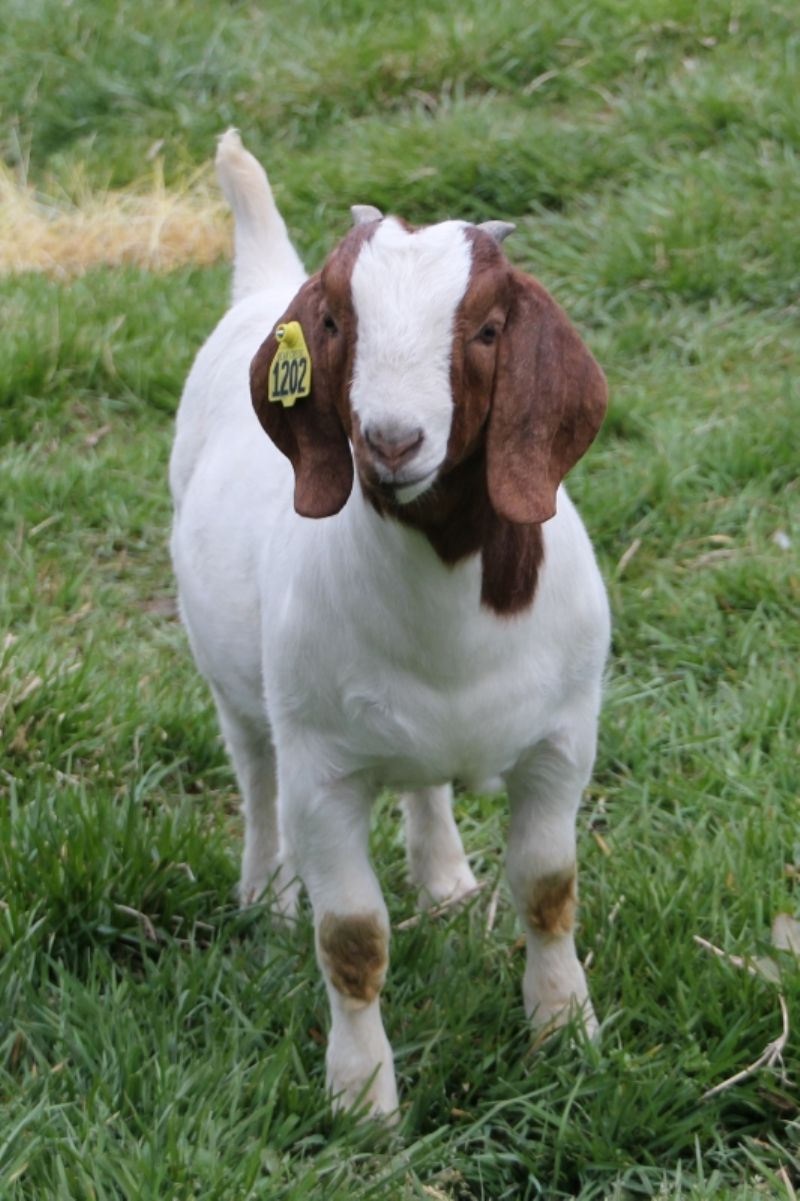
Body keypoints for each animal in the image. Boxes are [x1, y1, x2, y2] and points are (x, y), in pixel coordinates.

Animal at [166, 129, 605, 1114]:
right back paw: (266, 900)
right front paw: (362, 1099)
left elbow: (548, 890)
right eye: (334, 324)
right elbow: (352, 938)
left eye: (485, 328)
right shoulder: (323, 770)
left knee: (424, 781)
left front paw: (565, 1030)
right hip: (232, 682)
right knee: (256, 778)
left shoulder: (563, 740)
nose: (392, 441)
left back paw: (444, 880)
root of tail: (263, 282)